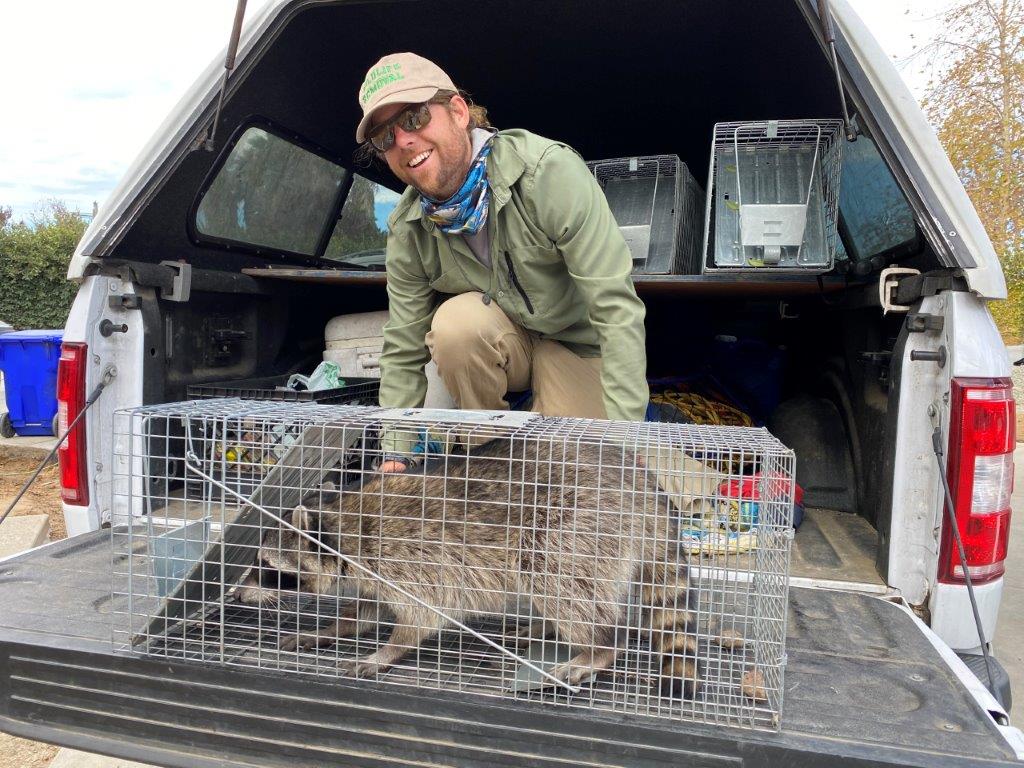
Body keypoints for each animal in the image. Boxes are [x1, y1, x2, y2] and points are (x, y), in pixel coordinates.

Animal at [243, 437, 700, 696]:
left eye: (266, 565)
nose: (235, 592)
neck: (340, 522)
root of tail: (642, 485)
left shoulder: (411, 558)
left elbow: (421, 617)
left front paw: (386, 650)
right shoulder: (375, 571)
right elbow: (367, 612)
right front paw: (328, 630)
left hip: (574, 525)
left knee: (557, 580)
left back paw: (598, 647)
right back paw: (546, 627)